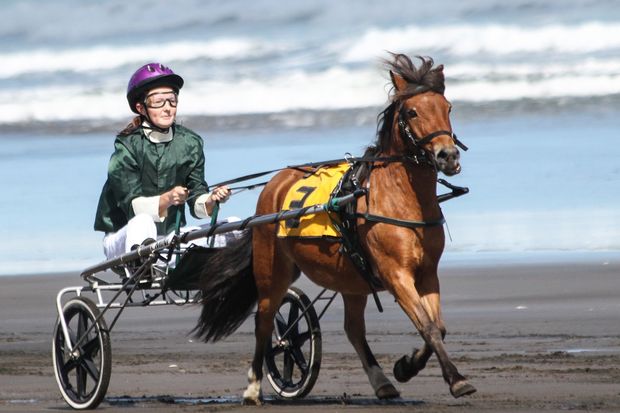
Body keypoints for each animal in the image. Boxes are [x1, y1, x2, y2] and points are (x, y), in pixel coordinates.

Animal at [194, 52, 474, 402]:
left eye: (447, 107)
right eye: (412, 111)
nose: (448, 156)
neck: (398, 198)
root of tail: (274, 184)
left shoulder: (426, 273)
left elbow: (438, 327)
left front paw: (406, 366)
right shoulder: (396, 274)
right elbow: (429, 327)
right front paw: (455, 379)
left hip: (352, 280)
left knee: (353, 329)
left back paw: (382, 382)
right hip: (272, 271)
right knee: (265, 321)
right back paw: (254, 386)